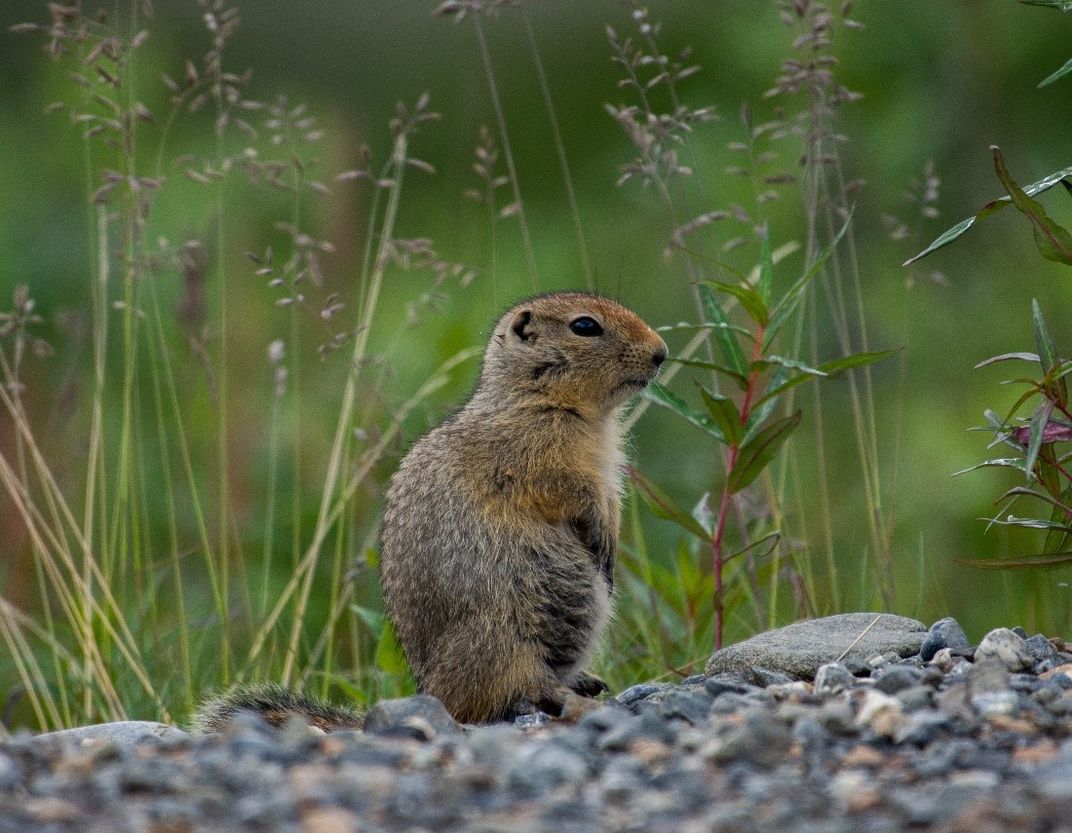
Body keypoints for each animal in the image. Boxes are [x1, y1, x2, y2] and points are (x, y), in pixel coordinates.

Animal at [188, 291, 664, 729]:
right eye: (585, 326)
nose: (661, 352)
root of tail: (430, 692)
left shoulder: (603, 465)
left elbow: (610, 498)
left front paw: (610, 544)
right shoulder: (533, 454)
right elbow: (569, 491)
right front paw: (601, 538)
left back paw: (584, 680)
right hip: (501, 632)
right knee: (501, 693)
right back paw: (559, 693)